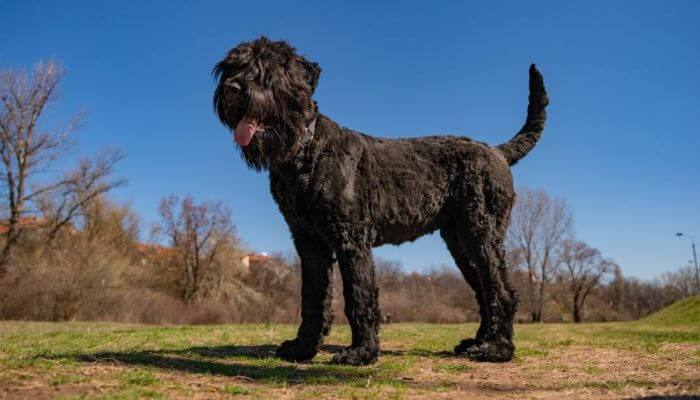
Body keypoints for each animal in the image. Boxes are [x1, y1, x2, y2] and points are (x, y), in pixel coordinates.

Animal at [212, 37, 548, 366]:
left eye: (266, 70)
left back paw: (497, 349)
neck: (304, 150)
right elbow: (312, 297)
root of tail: (497, 152)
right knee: (484, 290)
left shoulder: (350, 239)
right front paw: (302, 347)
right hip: (461, 243)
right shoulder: (309, 242)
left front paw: (361, 352)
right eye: (231, 67)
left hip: (481, 235)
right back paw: (477, 342)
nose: (232, 89)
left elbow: (358, 295)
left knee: (502, 291)